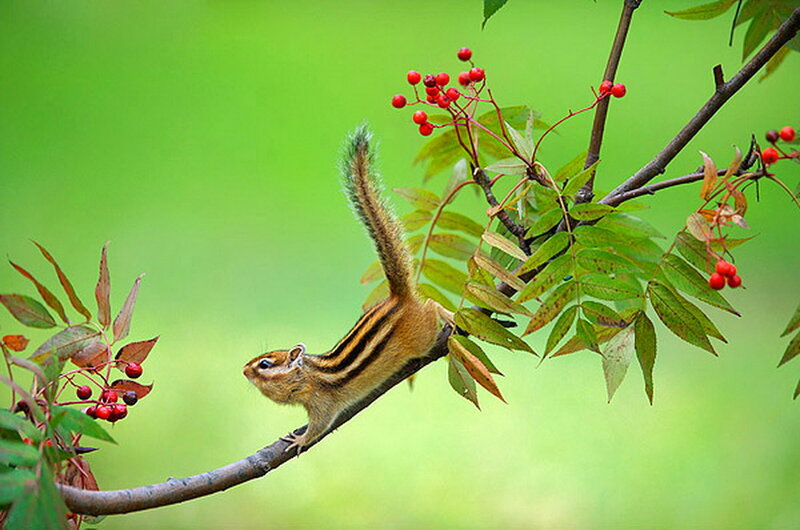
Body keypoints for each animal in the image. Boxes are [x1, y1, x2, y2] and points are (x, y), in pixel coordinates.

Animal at [243, 126, 453, 453]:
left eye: (264, 364)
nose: (243, 370)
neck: (310, 374)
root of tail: (399, 296)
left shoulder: (322, 403)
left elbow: (319, 426)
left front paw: (299, 440)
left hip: (423, 335)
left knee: (431, 304)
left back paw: (451, 316)